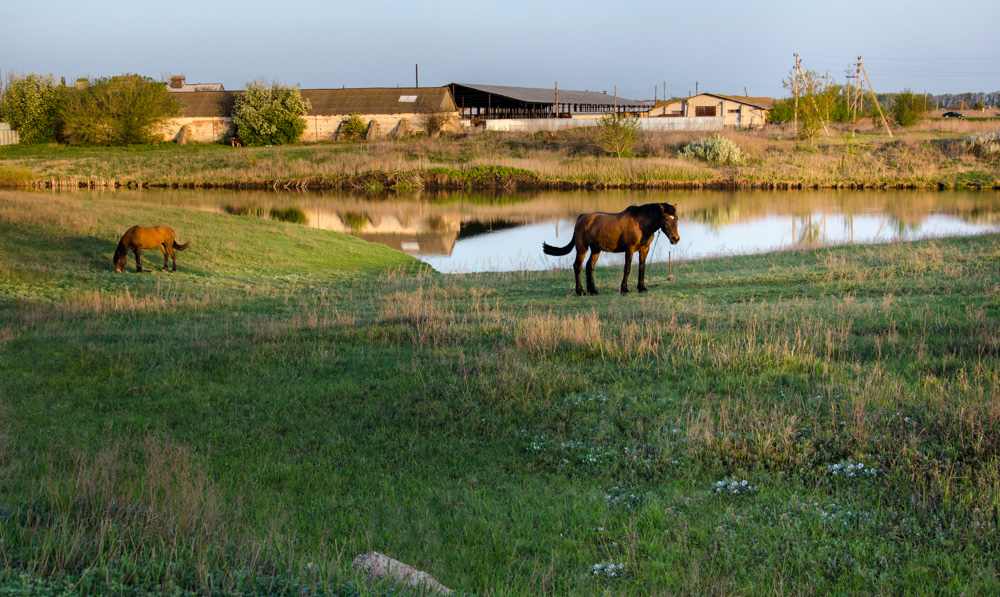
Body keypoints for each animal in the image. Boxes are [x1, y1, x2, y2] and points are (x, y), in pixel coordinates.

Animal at [548, 203, 680, 296]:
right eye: (666, 218)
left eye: (676, 218)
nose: (675, 238)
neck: (640, 224)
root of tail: (581, 217)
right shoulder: (630, 249)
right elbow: (627, 268)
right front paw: (624, 290)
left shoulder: (644, 249)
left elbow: (641, 268)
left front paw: (642, 288)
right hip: (582, 248)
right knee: (577, 266)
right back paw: (580, 291)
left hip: (596, 249)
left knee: (589, 266)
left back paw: (593, 291)